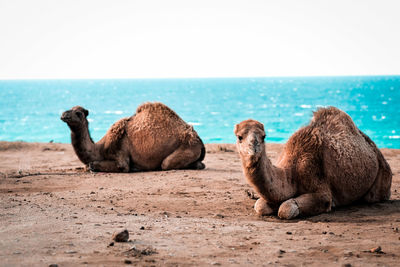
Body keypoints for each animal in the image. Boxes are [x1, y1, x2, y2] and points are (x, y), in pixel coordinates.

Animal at [62, 101, 206, 173]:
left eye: (79, 113)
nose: (64, 114)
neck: (101, 148)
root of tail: (199, 140)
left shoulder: (121, 156)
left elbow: (94, 164)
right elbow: (88, 165)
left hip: (188, 147)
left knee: (166, 163)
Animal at [233, 107, 392, 220]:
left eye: (264, 136)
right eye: (239, 137)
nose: (254, 146)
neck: (292, 172)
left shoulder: (321, 190)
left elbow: (287, 208)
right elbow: (259, 206)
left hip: (382, 179)